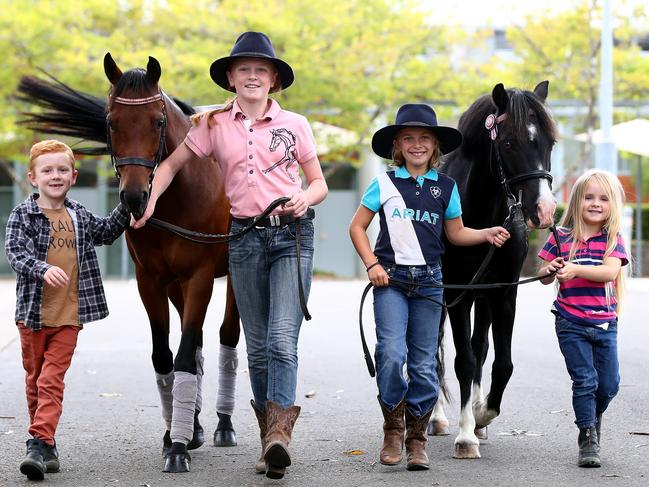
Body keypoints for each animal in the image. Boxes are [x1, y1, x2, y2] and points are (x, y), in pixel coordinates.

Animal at [19, 55, 243, 474]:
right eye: (111, 121)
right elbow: (166, 356)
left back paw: (223, 425)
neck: (176, 195)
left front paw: (178, 449)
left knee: (227, 337)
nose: (134, 197)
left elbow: (185, 354)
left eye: (157, 121)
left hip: (234, 279)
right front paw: (176, 436)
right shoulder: (151, 281)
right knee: (197, 344)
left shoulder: (200, 276)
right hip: (175, 287)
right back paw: (196, 426)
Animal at [430, 82, 556, 460]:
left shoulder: (503, 291)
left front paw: (482, 414)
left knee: (480, 347)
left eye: (550, 142)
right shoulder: (456, 291)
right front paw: (465, 435)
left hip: (483, 297)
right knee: (435, 351)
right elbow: (462, 361)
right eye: (509, 143)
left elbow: (501, 363)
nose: (545, 209)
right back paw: (439, 418)